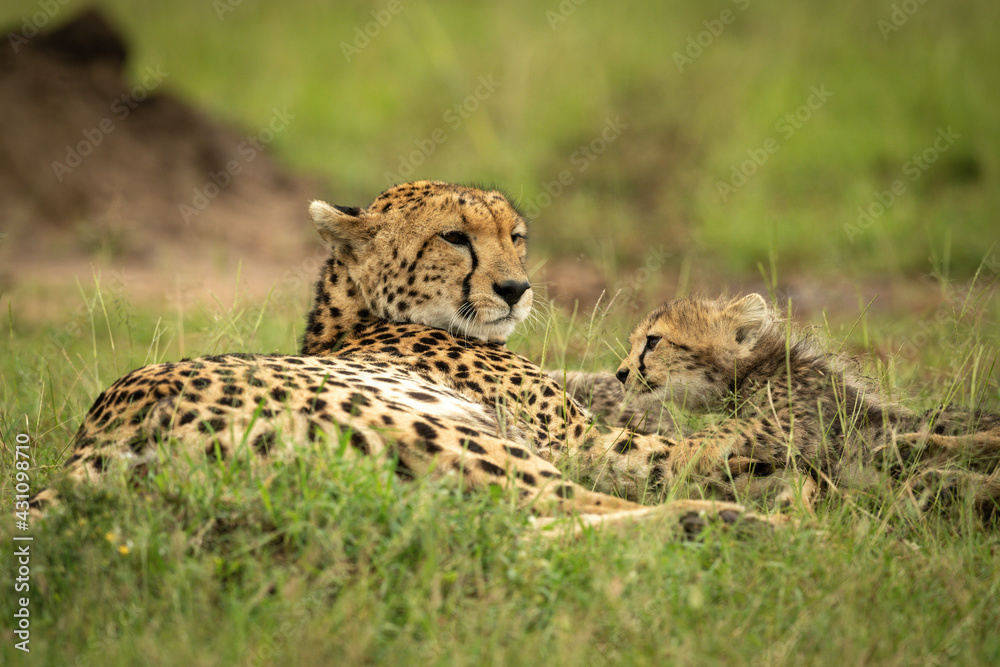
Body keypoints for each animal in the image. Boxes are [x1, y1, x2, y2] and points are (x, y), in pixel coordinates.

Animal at [31, 182, 783, 535]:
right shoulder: (577, 440)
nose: (517, 289)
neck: (362, 316)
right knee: (555, 511)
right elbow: (677, 447)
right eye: (455, 237)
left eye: (515, 236)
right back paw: (755, 525)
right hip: (451, 435)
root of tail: (91, 443)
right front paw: (782, 458)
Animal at [558, 293, 1000, 515]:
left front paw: (689, 450)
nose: (620, 373)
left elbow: (738, 425)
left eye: (653, 341)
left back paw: (913, 450)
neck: (754, 372)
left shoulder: (804, 426)